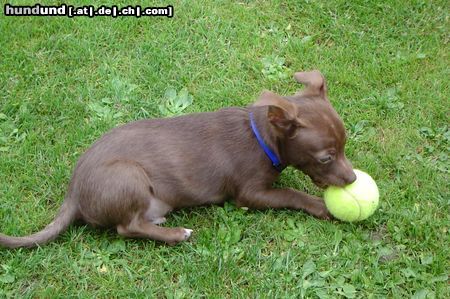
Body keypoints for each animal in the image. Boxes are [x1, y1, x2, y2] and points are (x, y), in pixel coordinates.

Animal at [0, 69, 356, 248]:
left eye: (345, 146)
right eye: (326, 157)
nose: (353, 179)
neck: (262, 138)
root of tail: (72, 193)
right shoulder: (250, 194)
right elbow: (291, 193)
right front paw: (323, 206)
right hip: (129, 176)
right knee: (126, 228)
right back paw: (175, 235)